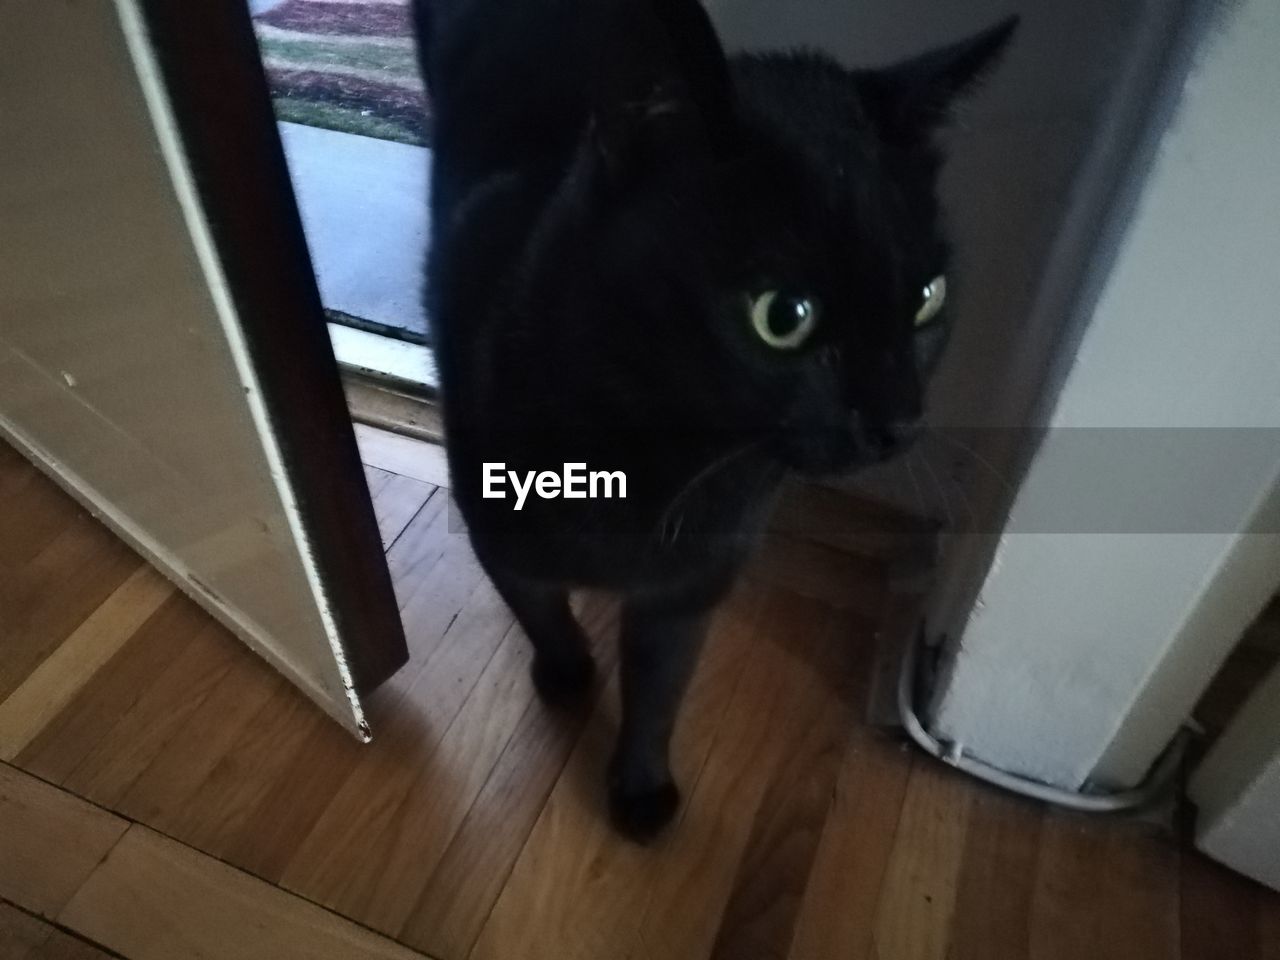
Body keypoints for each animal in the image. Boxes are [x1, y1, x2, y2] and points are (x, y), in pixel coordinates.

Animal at [414, 0, 1013, 839]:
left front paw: (641, 788)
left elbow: (659, 686)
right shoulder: (499, 531)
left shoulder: (691, 583)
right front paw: (567, 674)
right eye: (783, 317)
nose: (900, 420)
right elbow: (538, 607)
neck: (666, 458)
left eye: (927, 299)